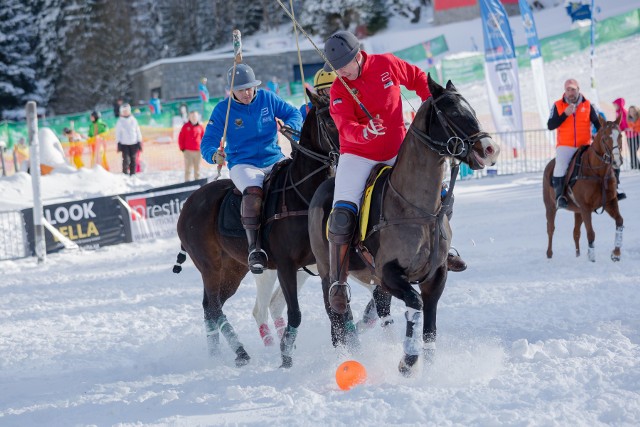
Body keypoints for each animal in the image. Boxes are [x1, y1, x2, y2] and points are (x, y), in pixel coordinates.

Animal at [170, 90, 340, 368]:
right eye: (328, 121)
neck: (302, 194)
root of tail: (188, 203)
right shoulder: (285, 265)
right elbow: (295, 313)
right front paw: (285, 357)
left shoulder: (323, 261)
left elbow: (333, 308)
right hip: (210, 265)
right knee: (214, 306)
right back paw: (240, 352)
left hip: (233, 268)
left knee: (209, 306)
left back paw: (216, 353)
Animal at [308, 77, 502, 378]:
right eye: (453, 112)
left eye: (470, 107)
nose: (491, 149)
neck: (418, 209)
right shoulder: (389, 272)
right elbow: (415, 304)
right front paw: (408, 360)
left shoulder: (436, 275)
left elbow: (429, 325)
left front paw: (429, 366)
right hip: (328, 270)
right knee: (337, 314)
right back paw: (346, 356)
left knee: (380, 309)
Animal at [544, 115, 624, 262]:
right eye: (605, 138)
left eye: (620, 135)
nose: (617, 161)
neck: (598, 173)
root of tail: (550, 164)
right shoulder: (586, 208)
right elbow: (591, 233)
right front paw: (591, 259)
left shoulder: (610, 202)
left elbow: (619, 221)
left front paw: (616, 254)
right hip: (550, 206)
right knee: (551, 229)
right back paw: (549, 254)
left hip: (577, 210)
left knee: (576, 232)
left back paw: (578, 255)